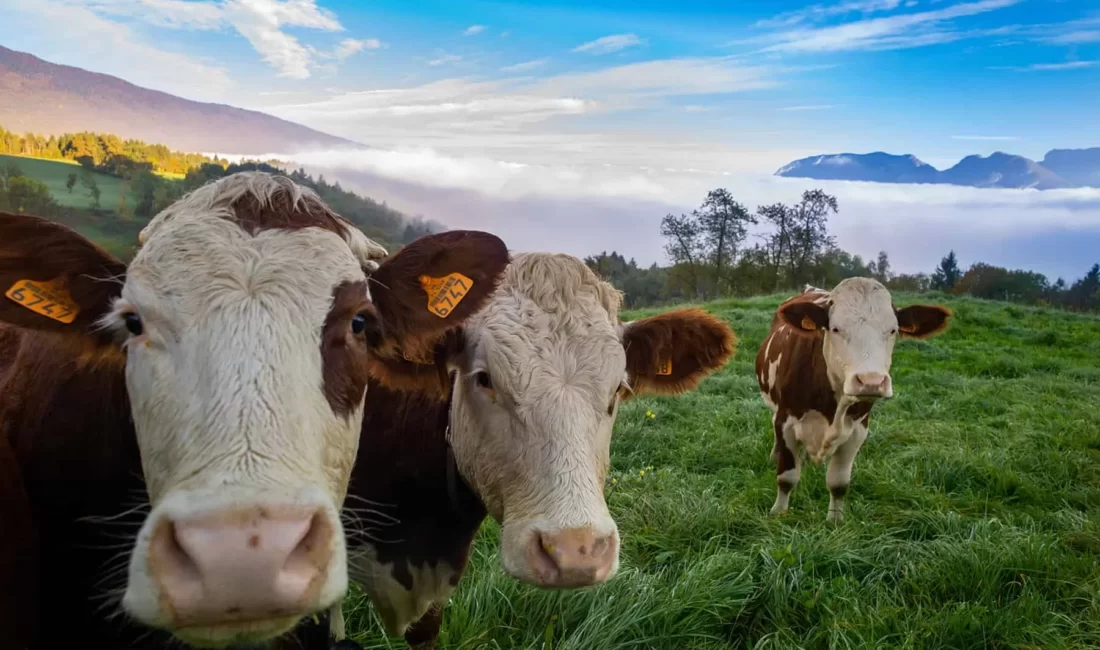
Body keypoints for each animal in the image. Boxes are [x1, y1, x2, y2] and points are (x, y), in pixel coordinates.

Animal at [756, 278, 954, 523]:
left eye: (893, 330)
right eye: (835, 328)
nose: (871, 381)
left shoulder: (858, 430)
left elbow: (838, 483)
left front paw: (835, 521)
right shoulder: (786, 422)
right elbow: (786, 477)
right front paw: (779, 513)